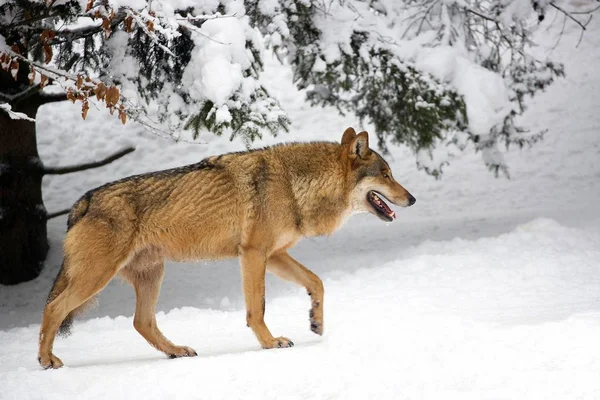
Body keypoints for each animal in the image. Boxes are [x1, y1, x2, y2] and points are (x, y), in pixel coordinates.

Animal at [36, 128, 412, 368]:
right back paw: (46, 359)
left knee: (141, 322)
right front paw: (270, 343)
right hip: (97, 278)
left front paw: (315, 321)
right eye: (387, 174)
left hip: (151, 275)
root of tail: (82, 202)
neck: (295, 185)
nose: (412, 199)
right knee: (53, 308)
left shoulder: (274, 255)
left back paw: (176, 351)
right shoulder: (254, 254)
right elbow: (257, 309)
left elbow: (317, 282)